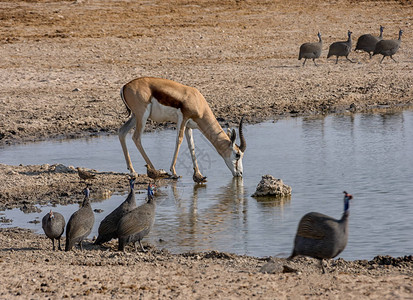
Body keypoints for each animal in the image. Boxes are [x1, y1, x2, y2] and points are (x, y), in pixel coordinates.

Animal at [117, 76, 245, 182]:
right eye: (237, 154)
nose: (240, 173)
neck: (197, 100)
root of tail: (125, 86)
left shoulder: (189, 126)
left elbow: (191, 146)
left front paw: (198, 175)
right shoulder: (183, 118)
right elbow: (179, 140)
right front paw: (174, 172)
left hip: (135, 117)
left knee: (122, 132)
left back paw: (132, 171)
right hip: (142, 116)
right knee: (136, 138)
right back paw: (157, 171)